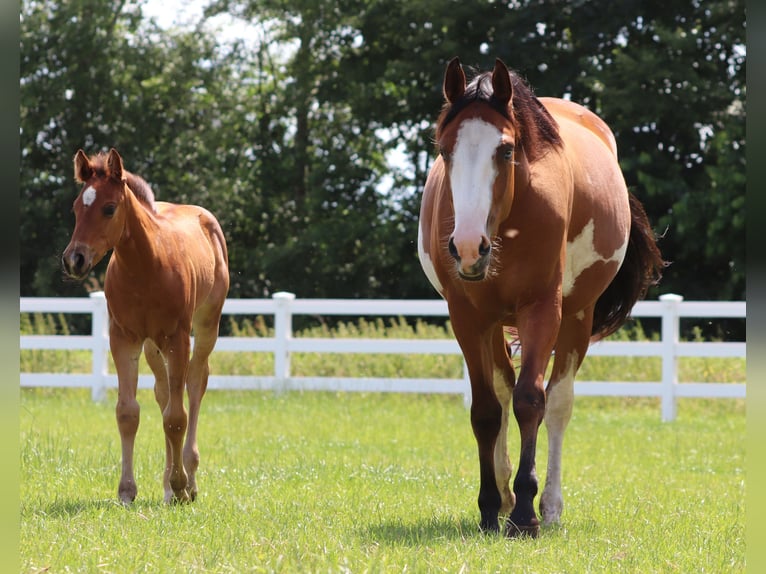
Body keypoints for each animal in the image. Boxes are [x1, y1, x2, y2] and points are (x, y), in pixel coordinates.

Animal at [61, 148, 230, 504]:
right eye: (76, 207)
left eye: (109, 208)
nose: (74, 260)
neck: (146, 269)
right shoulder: (124, 338)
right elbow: (128, 412)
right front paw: (128, 490)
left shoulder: (177, 338)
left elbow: (176, 418)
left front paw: (180, 485)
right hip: (154, 346)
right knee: (164, 392)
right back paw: (167, 485)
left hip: (206, 326)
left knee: (195, 384)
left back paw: (189, 480)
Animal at [418, 58, 664, 537]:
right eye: (445, 150)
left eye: (505, 151)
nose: (469, 247)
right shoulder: (467, 316)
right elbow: (486, 410)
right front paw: (491, 506)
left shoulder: (542, 310)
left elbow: (531, 400)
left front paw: (525, 513)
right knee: (502, 391)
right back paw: (504, 493)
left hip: (577, 318)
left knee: (559, 403)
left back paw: (549, 506)